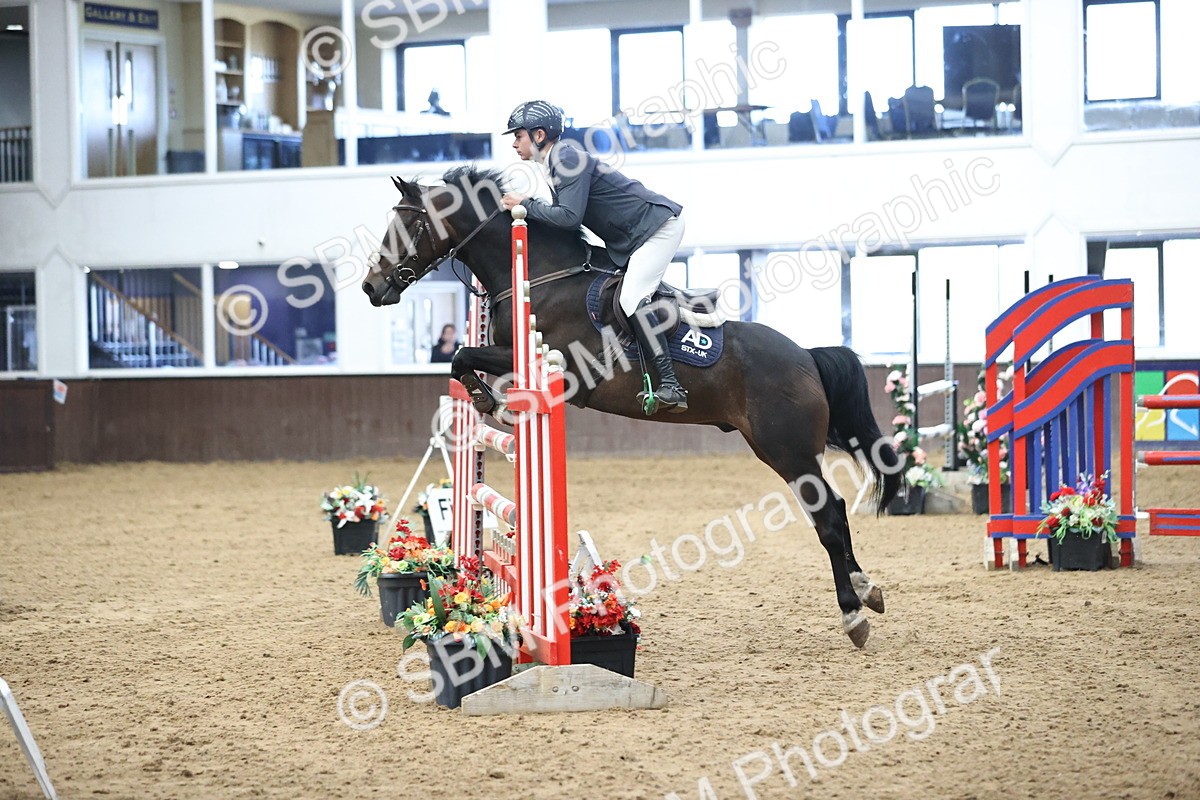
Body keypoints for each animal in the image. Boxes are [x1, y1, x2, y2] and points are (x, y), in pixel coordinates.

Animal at [362, 166, 903, 648]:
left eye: (408, 226)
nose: (371, 286)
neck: (542, 276)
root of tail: (807, 356)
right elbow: (462, 358)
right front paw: (487, 399)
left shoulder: (558, 367)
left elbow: (460, 355)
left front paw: (489, 400)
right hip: (782, 448)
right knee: (833, 511)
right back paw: (866, 591)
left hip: (787, 450)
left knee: (827, 515)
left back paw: (854, 611)